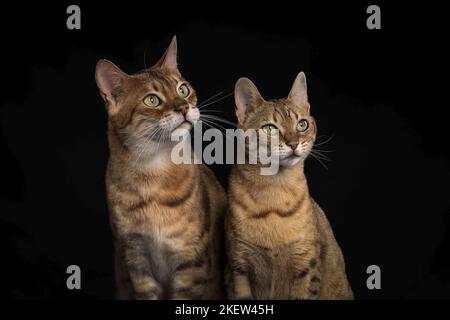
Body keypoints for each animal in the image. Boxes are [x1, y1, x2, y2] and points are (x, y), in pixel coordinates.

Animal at [96, 37, 227, 300]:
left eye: (183, 89)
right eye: (152, 100)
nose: (184, 107)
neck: (154, 175)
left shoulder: (190, 261)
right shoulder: (136, 259)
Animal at [224, 71, 352, 298]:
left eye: (302, 124)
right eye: (270, 128)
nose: (293, 143)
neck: (275, 192)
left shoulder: (308, 266)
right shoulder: (237, 268)